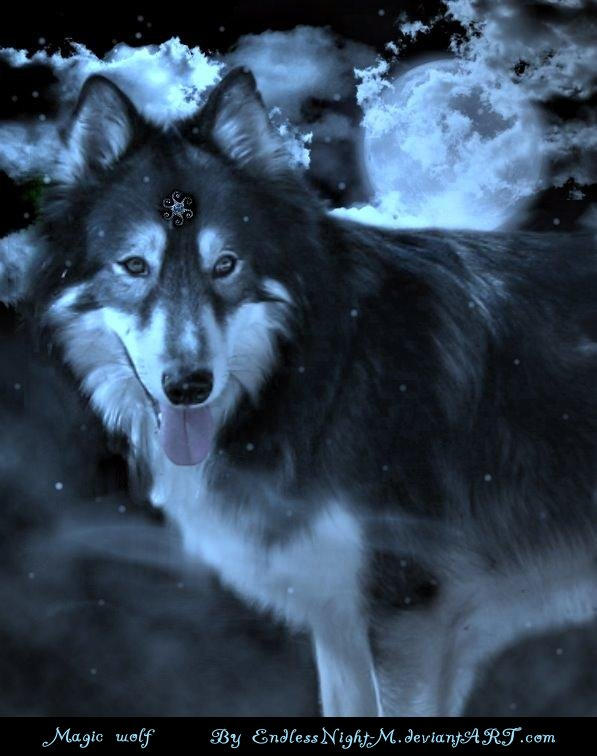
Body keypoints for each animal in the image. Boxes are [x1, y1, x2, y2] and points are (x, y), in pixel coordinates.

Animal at [1, 67, 595, 716]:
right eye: (134, 266)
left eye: (226, 265)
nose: (189, 387)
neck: (316, 380)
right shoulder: (339, 625)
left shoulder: (410, 619)